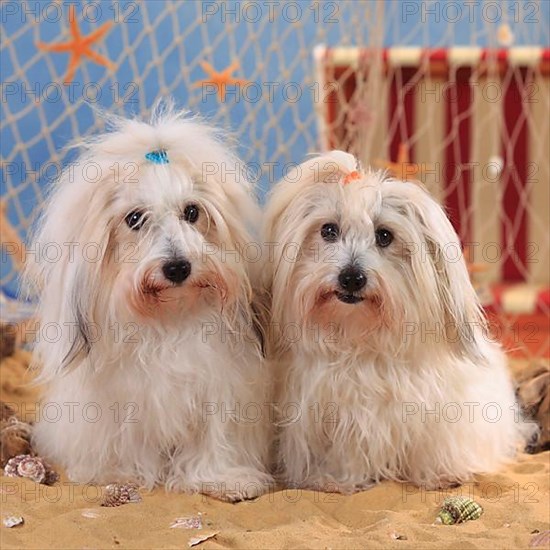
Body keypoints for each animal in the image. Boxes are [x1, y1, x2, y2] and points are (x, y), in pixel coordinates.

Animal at [27, 101, 272, 502]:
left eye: (192, 212)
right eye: (135, 218)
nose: (177, 267)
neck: (169, 318)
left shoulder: (220, 388)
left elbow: (214, 438)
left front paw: (221, 479)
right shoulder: (121, 399)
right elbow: (128, 440)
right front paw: (126, 473)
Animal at [264, 152, 536, 496]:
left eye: (384, 235)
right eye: (328, 230)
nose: (351, 277)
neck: (362, 341)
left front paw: (441, 474)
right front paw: (335, 480)